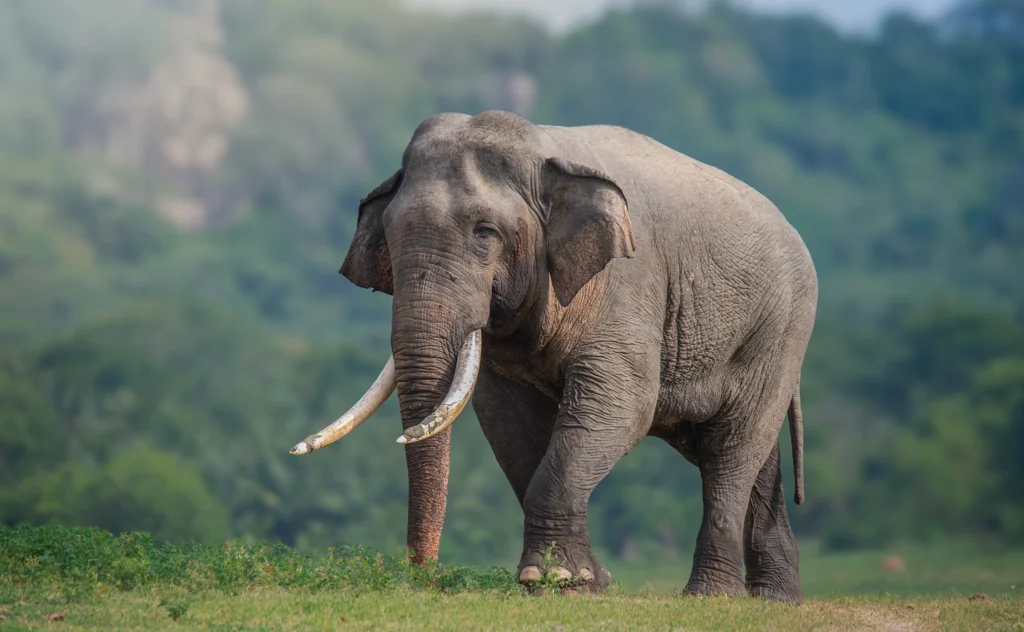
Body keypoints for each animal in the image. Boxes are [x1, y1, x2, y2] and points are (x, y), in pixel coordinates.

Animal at [290, 110, 817, 603]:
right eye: (390, 234)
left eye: (485, 232)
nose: (423, 576)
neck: (543, 151)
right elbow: (508, 422)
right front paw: (583, 582)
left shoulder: (625, 283)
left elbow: (621, 406)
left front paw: (556, 578)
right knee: (750, 453)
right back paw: (776, 599)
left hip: (780, 330)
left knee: (732, 447)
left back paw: (712, 595)